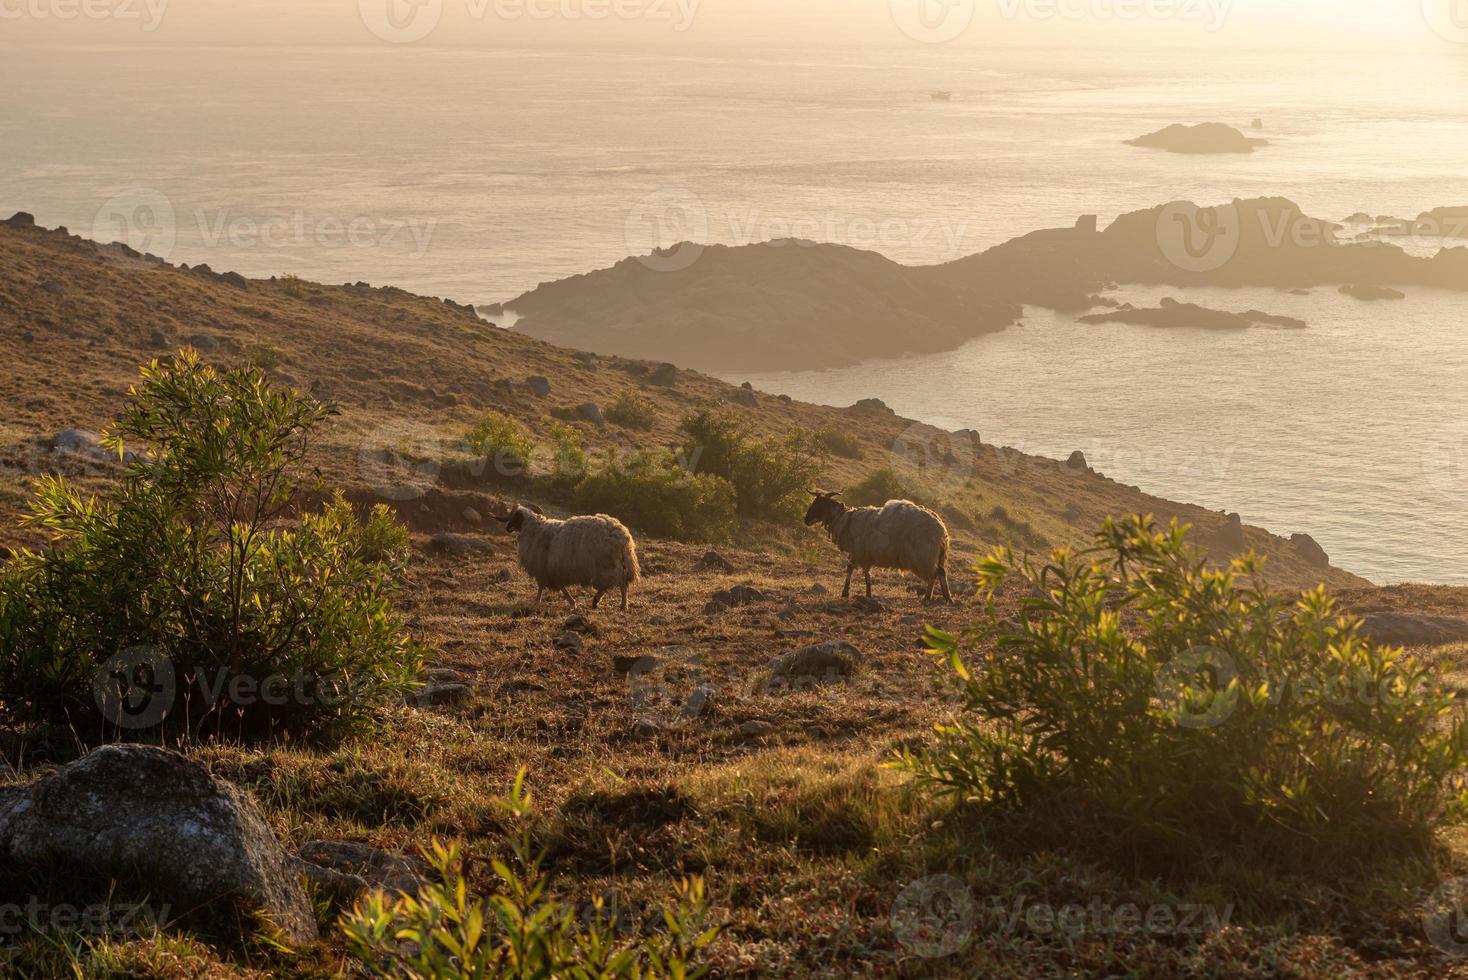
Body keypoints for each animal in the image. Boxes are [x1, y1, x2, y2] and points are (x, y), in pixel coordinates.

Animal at [496, 510, 640, 607]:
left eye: (515, 517)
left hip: (605, 565)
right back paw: (618, 604)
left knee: (615, 583)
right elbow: (560, 586)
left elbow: (542, 586)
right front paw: (572, 602)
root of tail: (622, 536)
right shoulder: (553, 571)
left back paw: (605, 602)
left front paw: (537, 601)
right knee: (622, 582)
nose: (507, 528)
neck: (533, 529)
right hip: (618, 564)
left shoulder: (544, 569)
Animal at [804, 492, 951, 601]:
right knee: (941, 572)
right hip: (936, 555)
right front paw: (864, 593)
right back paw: (945, 597)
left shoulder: (860, 552)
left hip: (924, 555)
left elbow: (856, 570)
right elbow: (861, 572)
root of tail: (941, 528)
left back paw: (931, 597)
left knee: (935, 574)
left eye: (817, 504)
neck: (844, 519)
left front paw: (849, 592)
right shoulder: (862, 553)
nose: (805, 520)